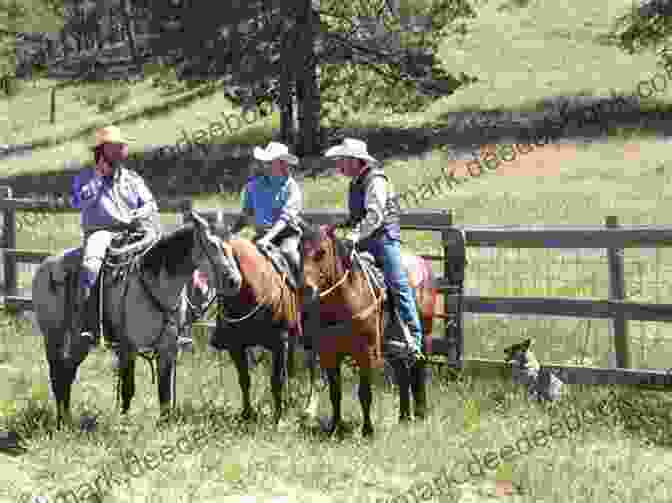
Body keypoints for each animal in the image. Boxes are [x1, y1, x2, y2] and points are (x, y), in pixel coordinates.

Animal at [32, 213, 235, 430]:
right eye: (212, 245)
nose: (235, 281)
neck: (156, 285)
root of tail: (45, 266)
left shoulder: (167, 348)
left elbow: (165, 392)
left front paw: (165, 425)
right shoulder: (128, 346)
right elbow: (128, 387)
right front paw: (124, 423)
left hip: (79, 341)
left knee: (67, 371)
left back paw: (66, 420)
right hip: (53, 336)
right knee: (57, 374)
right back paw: (62, 422)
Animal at [300, 224, 446, 438]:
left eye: (322, 252)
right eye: (300, 250)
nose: (306, 289)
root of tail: (423, 263)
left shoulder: (366, 352)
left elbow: (364, 393)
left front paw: (367, 430)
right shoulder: (329, 353)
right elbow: (335, 393)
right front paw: (335, 428)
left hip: (424, 334)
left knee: (418, 368)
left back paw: (420, 413)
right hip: (390, 345)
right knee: (402, 375)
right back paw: (403, 417)